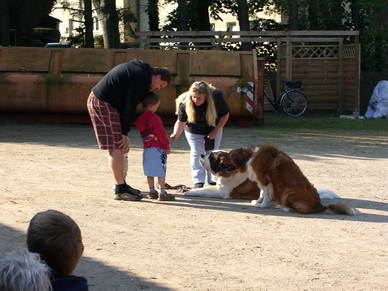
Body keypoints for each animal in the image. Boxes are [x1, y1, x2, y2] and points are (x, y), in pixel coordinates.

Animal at [226, 145, 360, 216]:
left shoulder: (264, 179)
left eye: (228, 157)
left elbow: (266, 194)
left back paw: (284, 207)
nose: (222, 162)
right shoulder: (262, 181)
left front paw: (262, 205)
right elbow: (262, 193)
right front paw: (258, 201)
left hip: (288, 192)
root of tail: (320, 206)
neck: (249, 156)